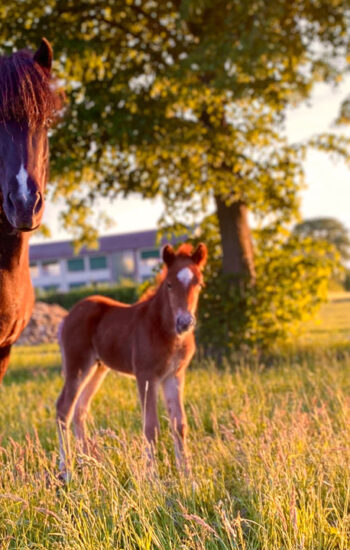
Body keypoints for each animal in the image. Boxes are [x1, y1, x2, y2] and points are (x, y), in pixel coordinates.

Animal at [56, 244, 206, 480]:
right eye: (169, 284)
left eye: (199, 284)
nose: (185, 322)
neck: (161, 327)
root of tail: (68, 316)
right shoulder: (146, 376)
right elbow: (151, 427)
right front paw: (152, 478)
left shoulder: (174, 376)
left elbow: (179, 424)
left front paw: (188, 477)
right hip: (77, 365)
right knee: (64, 408)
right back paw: (67, 470)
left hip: (98, 368)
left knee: (80, 409)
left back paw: (88, 463)